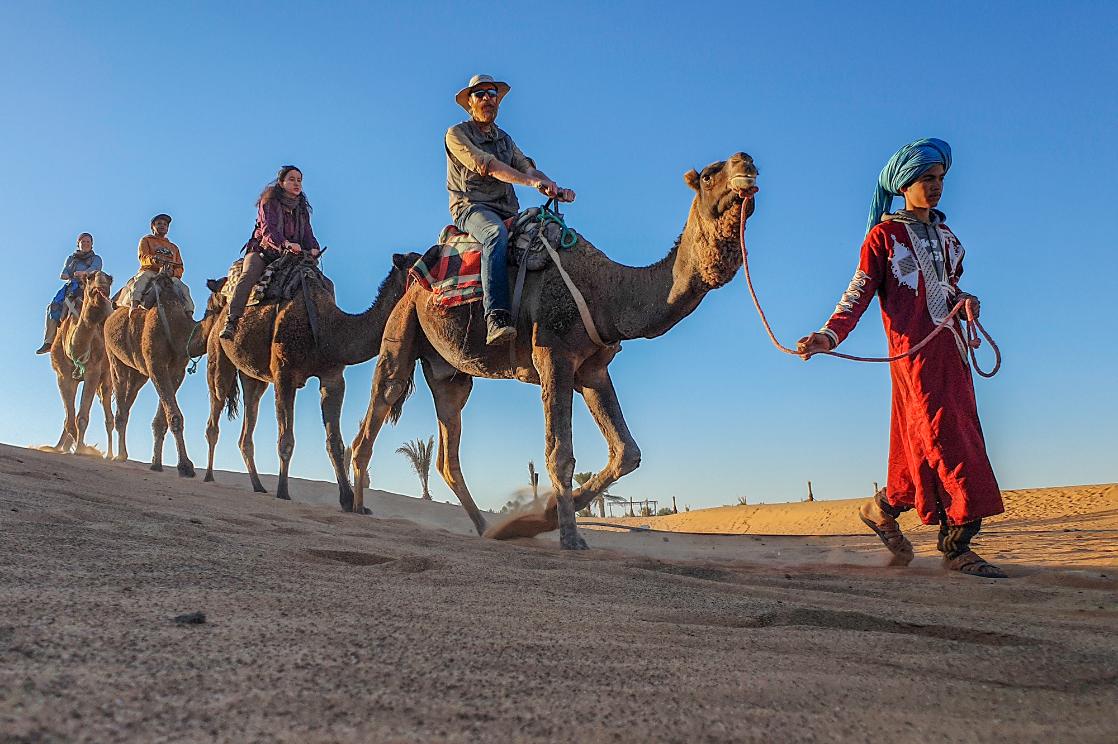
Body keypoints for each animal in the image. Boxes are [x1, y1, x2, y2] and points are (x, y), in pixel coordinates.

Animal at [47, 269, 114, 456]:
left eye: (110, 280)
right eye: (89, 277)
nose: (101, 288)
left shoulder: (93, 372)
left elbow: (82, 417)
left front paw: (81, 449)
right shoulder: (63, 376)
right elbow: (69, 419)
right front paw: (76, 446)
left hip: (107, 378)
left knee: (109, 416)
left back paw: (111, 455)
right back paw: (58, 447)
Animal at [104, 268, 218, 476]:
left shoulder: (177, 369)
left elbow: (162, 420)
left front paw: (156, 463)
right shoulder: (155, 363)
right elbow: (175, 416)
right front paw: (185, 466)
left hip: (138, 373)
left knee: (129, 399)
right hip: (114, 356)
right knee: (120, 396)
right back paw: (119, 455)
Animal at [201, 252, 415, 507]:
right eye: (416, 269)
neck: (327, 327)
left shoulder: (333, 378)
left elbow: (335, 443)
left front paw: (347, 500)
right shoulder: (284, 375)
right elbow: (286, 440)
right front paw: (283, 492)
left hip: (254, 377)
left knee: (247, 426)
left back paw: (258, 486)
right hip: (218, 356)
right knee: (216, 407)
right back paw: (208, 475)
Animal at [351, 151, 760, 548]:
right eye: (709, 174)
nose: (747, 162)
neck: (607, 294)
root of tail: (415, 281)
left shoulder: (593, 370)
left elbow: (627, 452)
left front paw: (535, 520)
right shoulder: (553, 356)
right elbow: (560, 454)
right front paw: (567, 535)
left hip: (451, 375)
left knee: (447, 453)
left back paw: (488, 529)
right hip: (402, 329)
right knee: (377, 409)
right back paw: (357, 507)